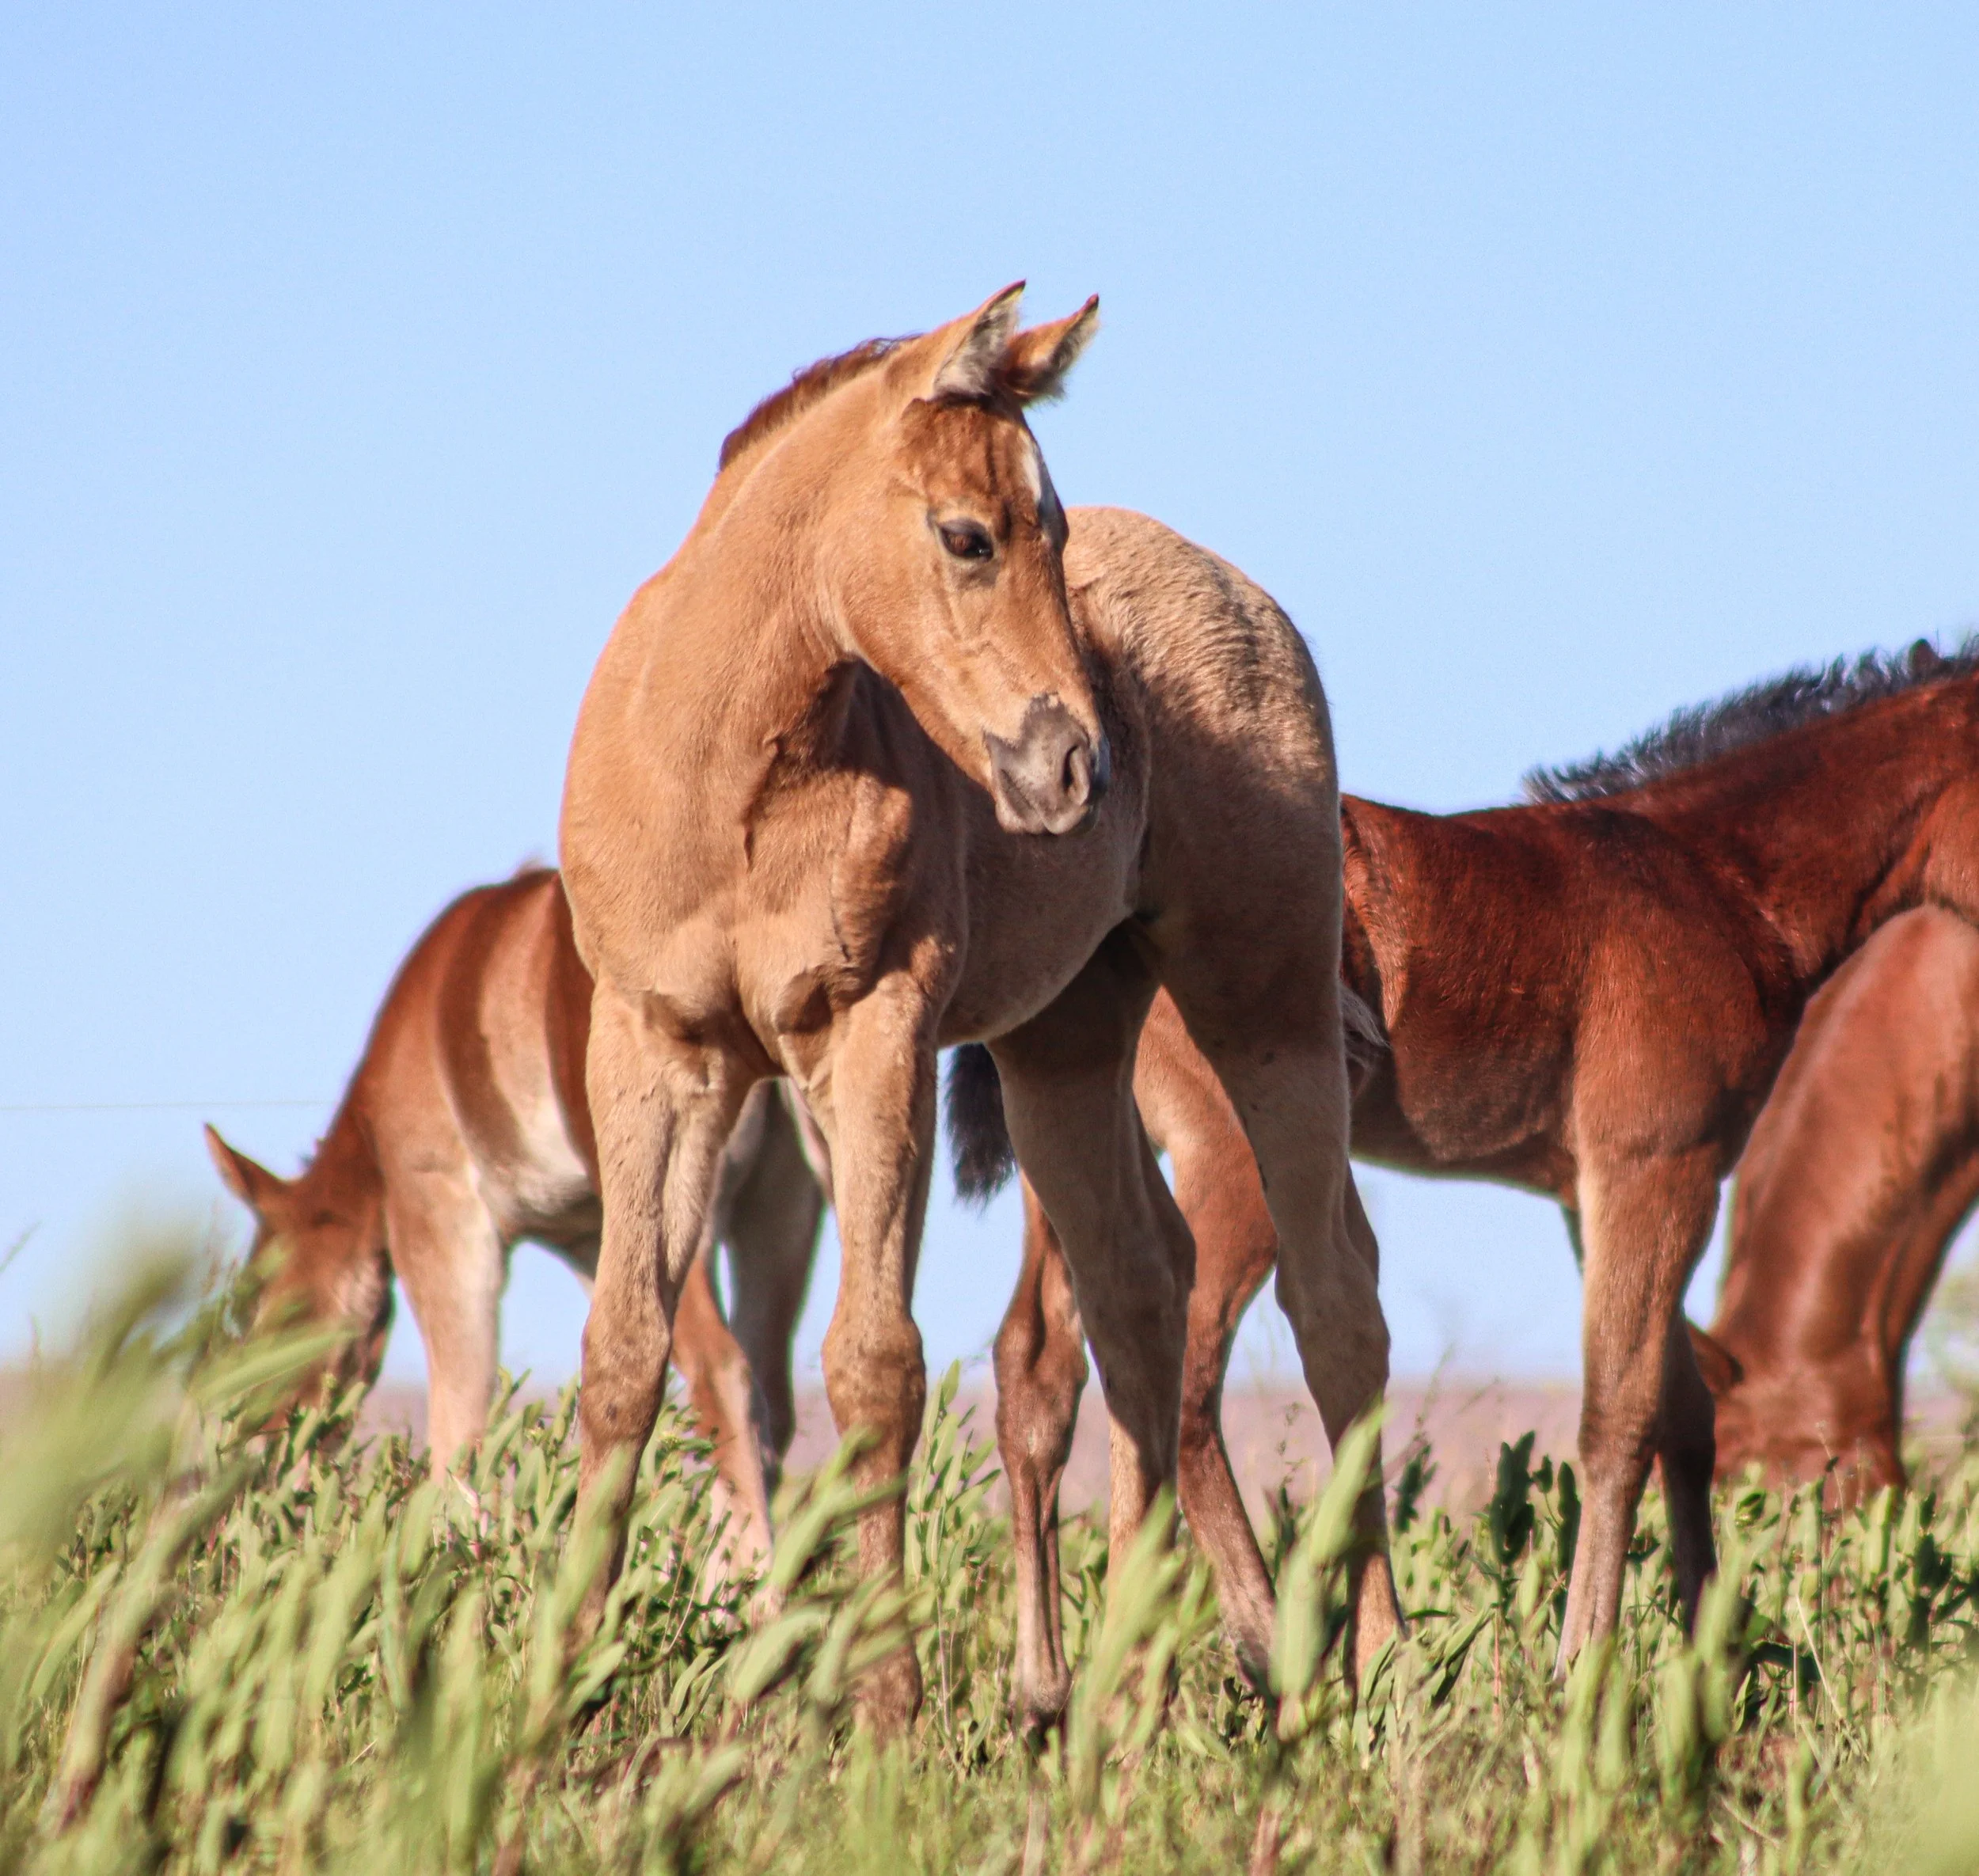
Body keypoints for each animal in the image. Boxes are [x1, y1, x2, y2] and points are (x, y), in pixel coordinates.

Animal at [205, 866, 829, 1573]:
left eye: (267, 1308)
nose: (259, 1445)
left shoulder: (444, 1231)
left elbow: (459, 1431)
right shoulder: (591, 1244)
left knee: (722, 1376)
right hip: (784, 1213)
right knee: (776, 1396)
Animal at [558, 286, 1396, 1732]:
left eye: (1051, 531)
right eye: (969, 535)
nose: (1077, 766)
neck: (725, 780)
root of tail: (1246, 597)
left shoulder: (874, 1030)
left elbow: (873, 1363)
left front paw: (890, 1708)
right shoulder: (659, 1048)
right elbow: (621, 1355)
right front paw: (550, 1685)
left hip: (1265, 998)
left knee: (1335, 1300)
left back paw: (1382, 1677)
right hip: (1060, 1045)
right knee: (1136, 1300)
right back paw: (1127, 1692)